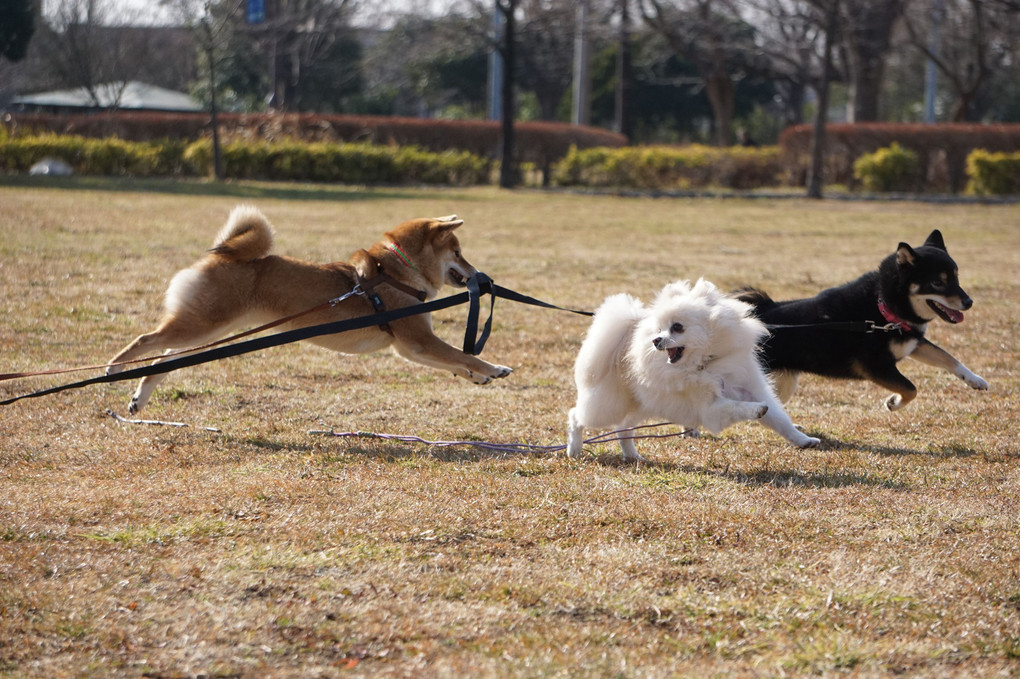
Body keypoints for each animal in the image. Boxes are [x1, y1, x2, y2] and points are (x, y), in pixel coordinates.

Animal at [107, 200, 514, 411]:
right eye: (458, 253)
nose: (481, 275)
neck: (396, 272)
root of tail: (224, 255)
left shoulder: (410, 348)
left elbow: (456, 362)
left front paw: (479, 376)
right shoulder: (417, 341)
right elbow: (463, 355)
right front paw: (493, 368)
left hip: (211, 328)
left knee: (163, 360)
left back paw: (139, 397)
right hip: (205, 323)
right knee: (146, 341)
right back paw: (114, 368)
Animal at [567, 277, 820, 460]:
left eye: (677, 327)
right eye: (659, 329)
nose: (656, 340)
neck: (708, 362)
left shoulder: (750, 387)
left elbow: (781, 421)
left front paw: (803, 440)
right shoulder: (709, 406)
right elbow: (735, 406)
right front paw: (756, 410)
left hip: (643, 403)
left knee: (622, 428)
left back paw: (632, 456)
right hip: (610, 404)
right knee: (577, 415)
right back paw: (574, 448)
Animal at [742, 228, 987, 407]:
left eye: (956, 278)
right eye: (937, 282)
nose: (969, 302)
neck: (884, 309)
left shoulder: (914, 343)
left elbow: (947, 357)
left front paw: (975, 379)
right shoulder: (876, 366)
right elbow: (911, 388)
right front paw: (894, 402)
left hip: (783, 383)